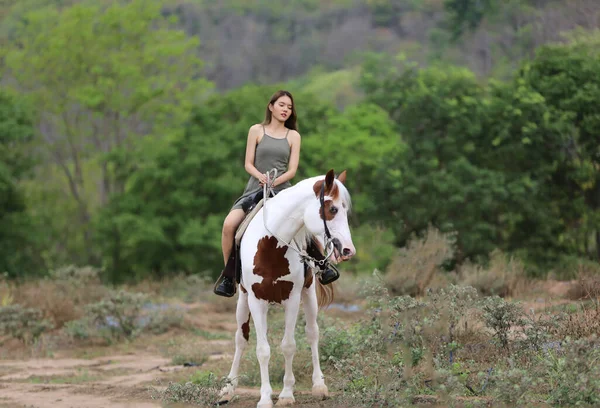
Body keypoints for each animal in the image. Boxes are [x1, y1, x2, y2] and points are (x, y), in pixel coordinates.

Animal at [218, 169, 354, 408]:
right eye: (333, 209)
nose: (348, 249)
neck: (271, 245)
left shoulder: (292, 299)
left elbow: (288, 345)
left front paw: (286, 394)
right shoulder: (256, 300)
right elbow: (262, 350)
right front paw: (264, 398)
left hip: (308, 296)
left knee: (312, 334)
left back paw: (319, 386)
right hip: (243, 301)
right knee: (241, 339)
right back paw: (228, 389)